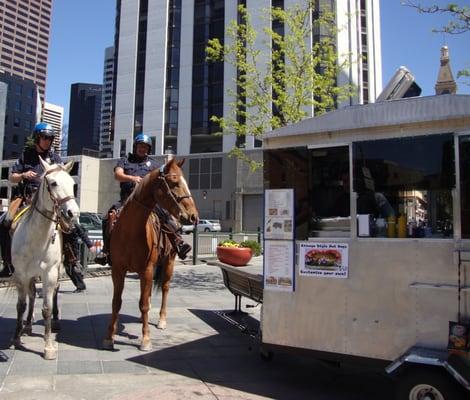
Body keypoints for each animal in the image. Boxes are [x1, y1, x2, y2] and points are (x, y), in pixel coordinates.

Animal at [11, 157, 79, 360]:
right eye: (54, 183)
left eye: (73, 184)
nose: (73, 213)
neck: (36, 238)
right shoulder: (20, 274)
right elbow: (21, 305)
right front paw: (16, 337)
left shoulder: (49, 273)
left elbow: (46, 308)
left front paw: (48, 346)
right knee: (32, 294)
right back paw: (27, 325)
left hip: (57, 270)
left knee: (55, 292)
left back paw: (55, 321)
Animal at [103, 158, 198, 352]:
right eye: (174, 182)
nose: (194, 216)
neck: (130, 230)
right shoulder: (118, 270)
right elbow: (116, 302)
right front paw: (110, 336)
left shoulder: (146, 269)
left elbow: (144, 305)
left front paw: (145, 339)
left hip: (168, 263)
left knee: (165, 288)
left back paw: (161, 320)